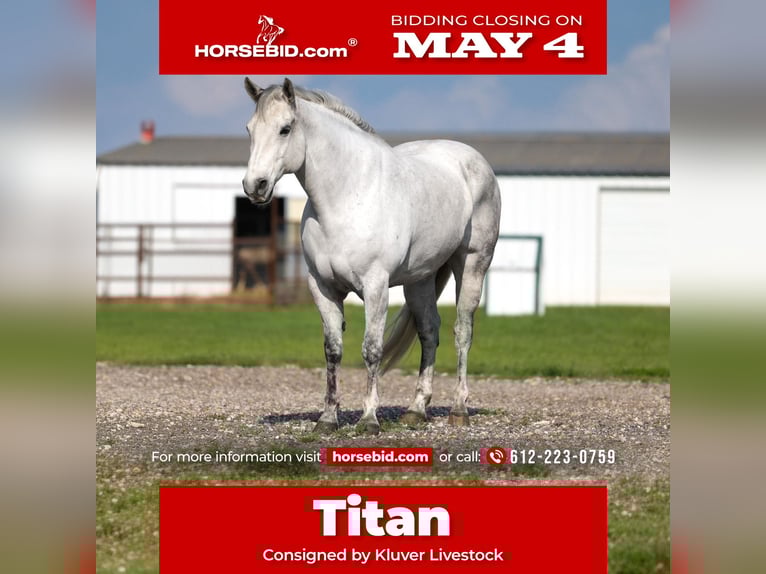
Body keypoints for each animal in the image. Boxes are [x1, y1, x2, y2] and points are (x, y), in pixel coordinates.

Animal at [242, 78, 501, 435]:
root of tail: (475, 161)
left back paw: (459, 409)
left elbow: (372, 349)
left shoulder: (375, 286)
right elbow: (333, 350)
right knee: (429, 332)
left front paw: (368, 419)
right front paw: (328, 418)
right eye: (250, 129)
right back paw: (416, 409)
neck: (347, 196)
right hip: (420, 280)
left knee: (462, 330)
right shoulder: (322, 288)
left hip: (473, 264)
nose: (255, 186)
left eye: (285, 128)